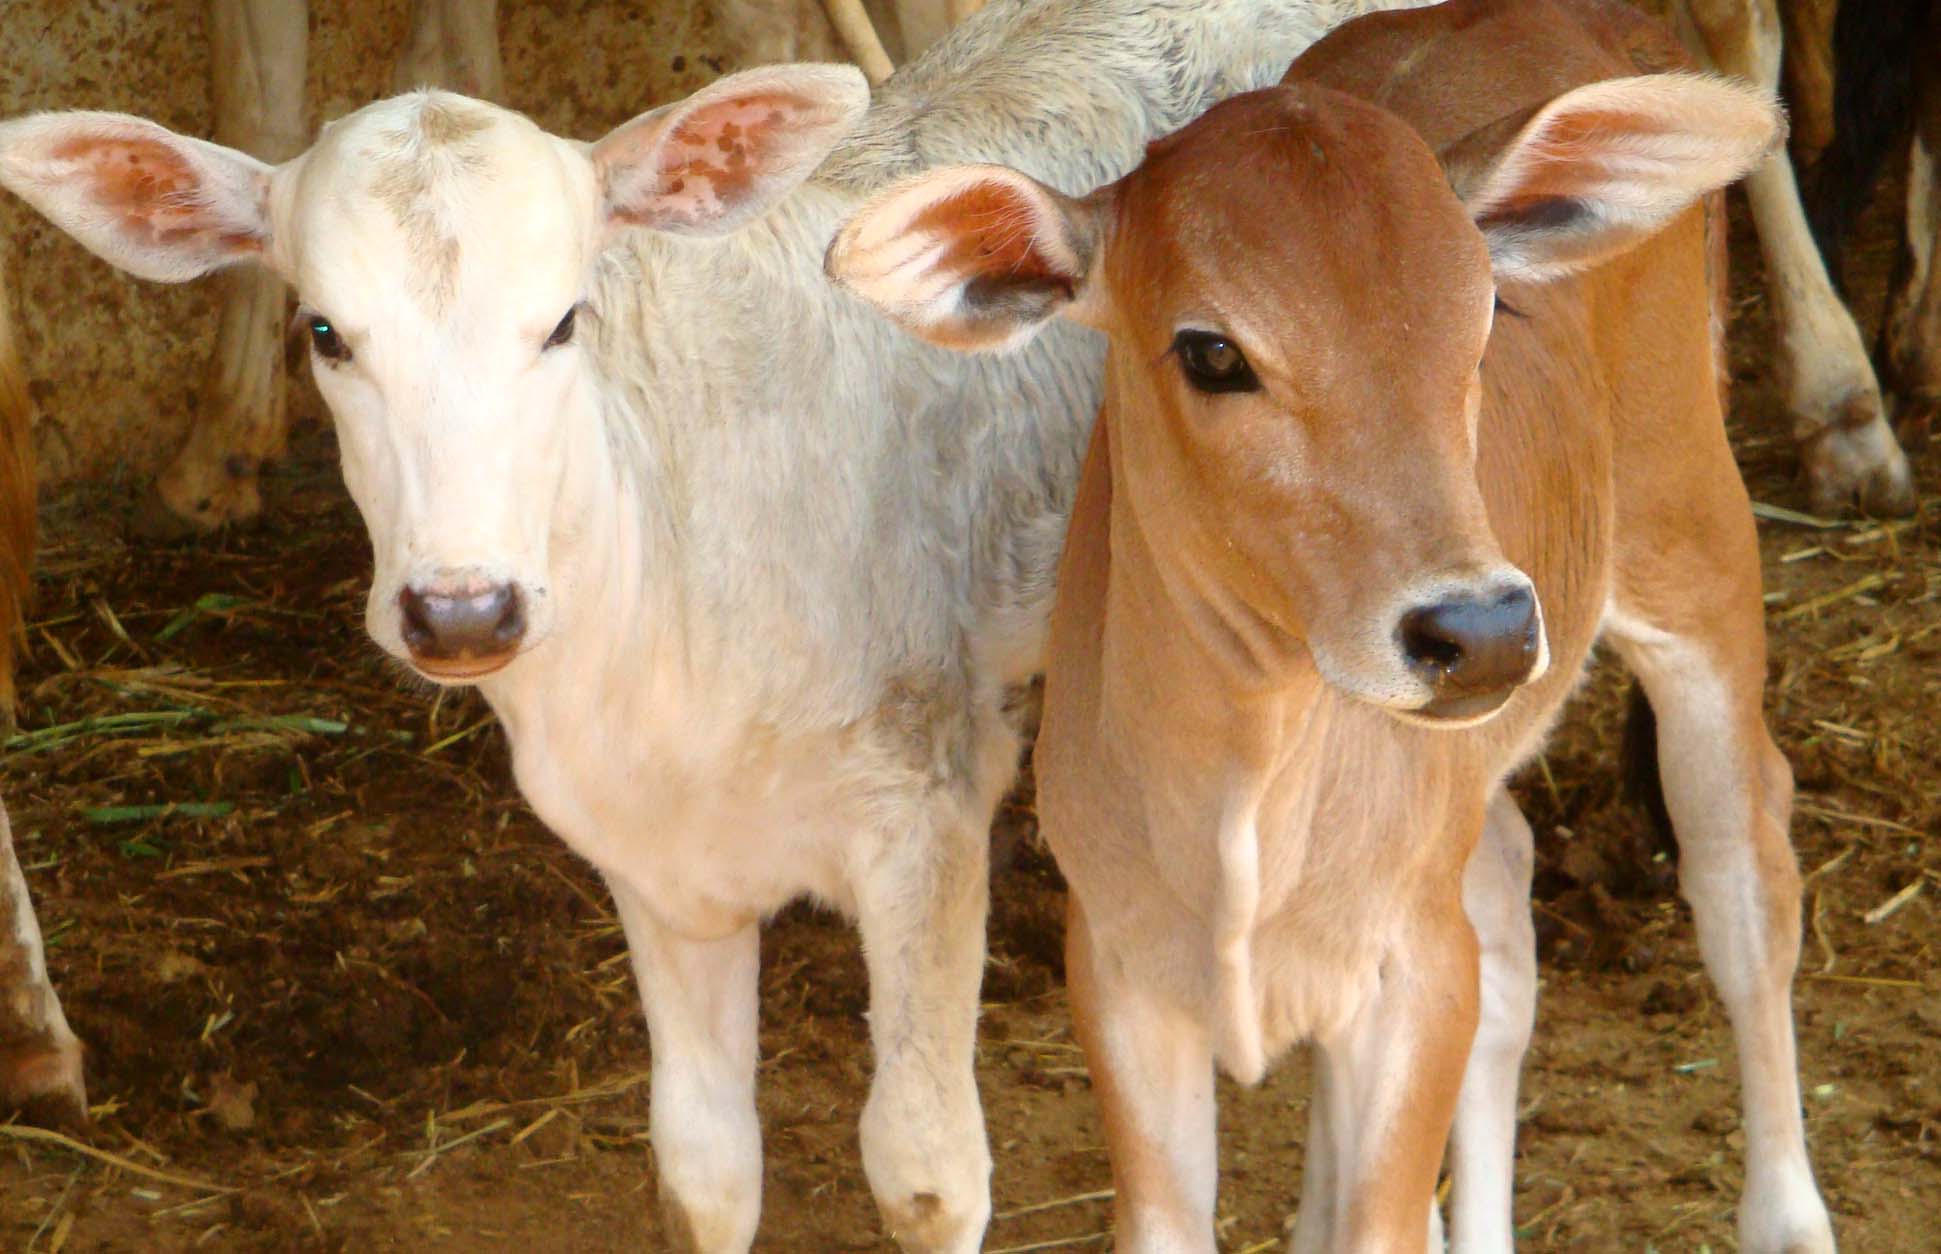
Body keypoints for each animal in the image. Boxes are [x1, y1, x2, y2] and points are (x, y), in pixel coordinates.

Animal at [0, 0, 1435, 1245]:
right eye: (323, 332)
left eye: (563, 320)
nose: (462, 607)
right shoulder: (654, 863)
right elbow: (703, 1172)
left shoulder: (925, 807)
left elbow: (926, 1171)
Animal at [827, 1, 1835, 1250]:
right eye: (1211, 351)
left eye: (1487, 311)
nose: (1481, 629)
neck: (1247, 786)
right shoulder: (1121, 976)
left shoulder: (1412, 977)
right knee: (1511, 891)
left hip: (1690, 532)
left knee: (1746, 869)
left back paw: (1789, 1213)